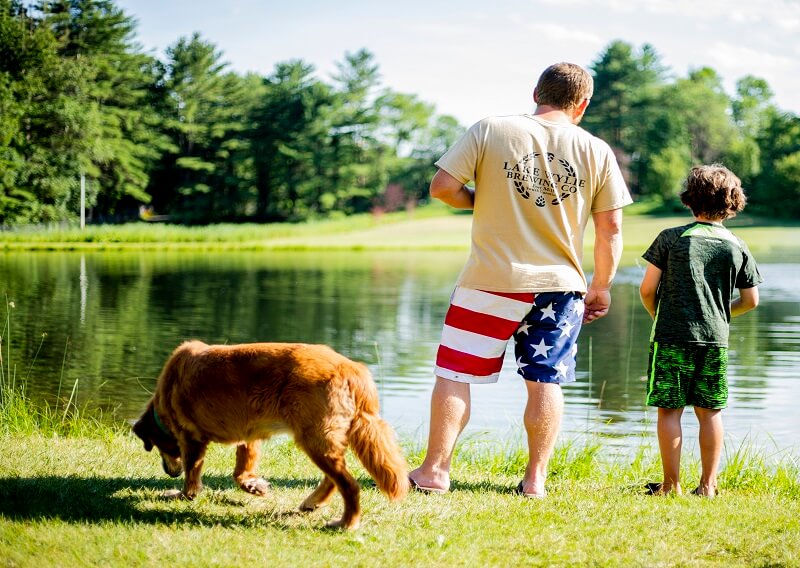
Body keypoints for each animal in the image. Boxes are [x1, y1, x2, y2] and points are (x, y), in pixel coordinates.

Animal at [134, 340, 410, 532]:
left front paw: (182, 494)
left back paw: (346, 523)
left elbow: (192, 475)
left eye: (157, 446)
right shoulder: (249, 433)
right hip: (322, 442)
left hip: (314, 440)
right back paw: (313, 502)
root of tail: (351, 368)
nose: (170, 472)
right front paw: (252, 485)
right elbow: (241, 469)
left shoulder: (191, 440)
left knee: (349, 485)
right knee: (334, 480)